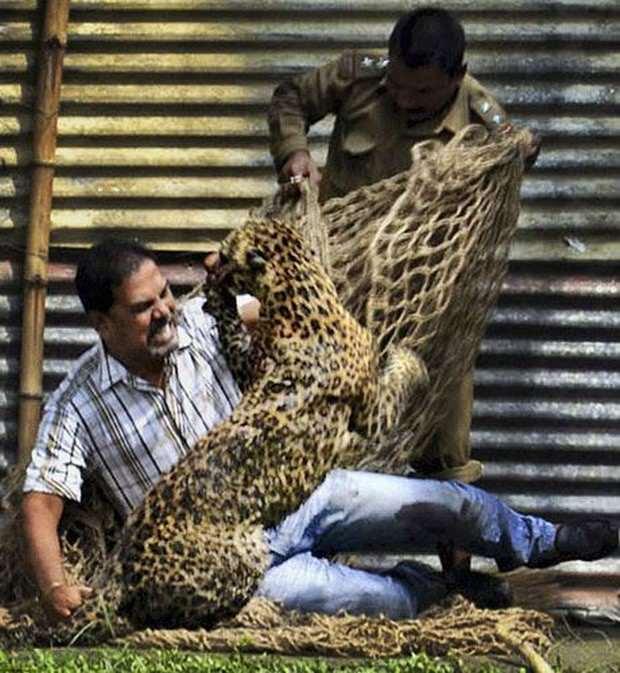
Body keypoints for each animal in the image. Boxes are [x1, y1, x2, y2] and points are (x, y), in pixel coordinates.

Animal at [18, 213, 426, 644]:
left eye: (228, 251)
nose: (209, 261)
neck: (298, 295)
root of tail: (120, 568)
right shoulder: (373, 414)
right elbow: (397, 384)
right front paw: (411, 361)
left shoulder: (251, 365)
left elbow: (234, 337)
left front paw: (218, 299)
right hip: (245, 555)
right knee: (175, 617)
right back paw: (252, 615)